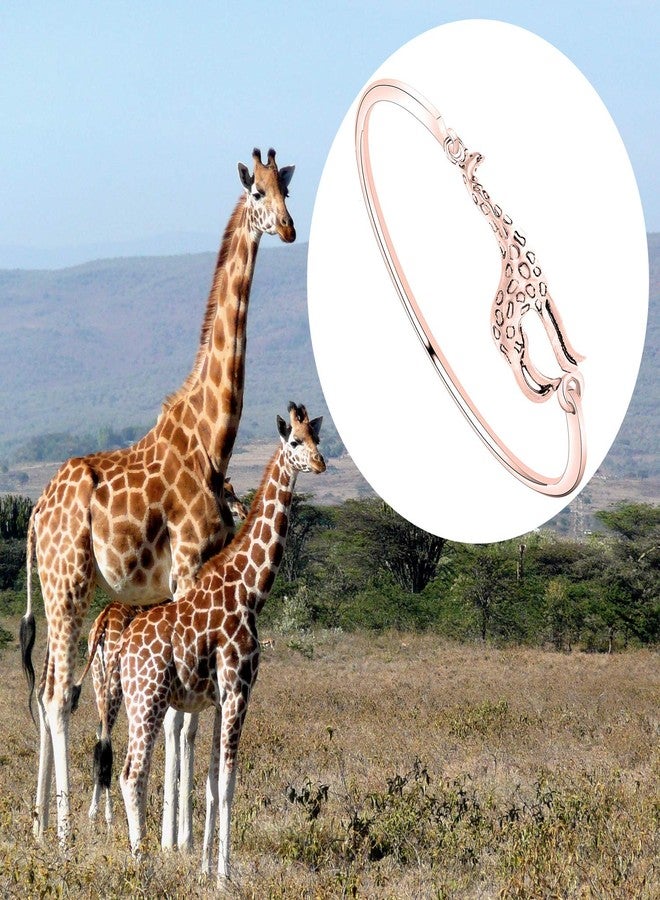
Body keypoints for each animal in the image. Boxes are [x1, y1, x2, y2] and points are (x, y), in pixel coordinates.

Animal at [79, 477, 249, 845]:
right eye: (226, 492)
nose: (242, 512)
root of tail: (102, 624)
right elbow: (183, 730)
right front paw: (178, 838)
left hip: (100, 681)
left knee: (101, 737)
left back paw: (95, 815)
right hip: (117, 685)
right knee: (110, 741)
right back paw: (110, 818)